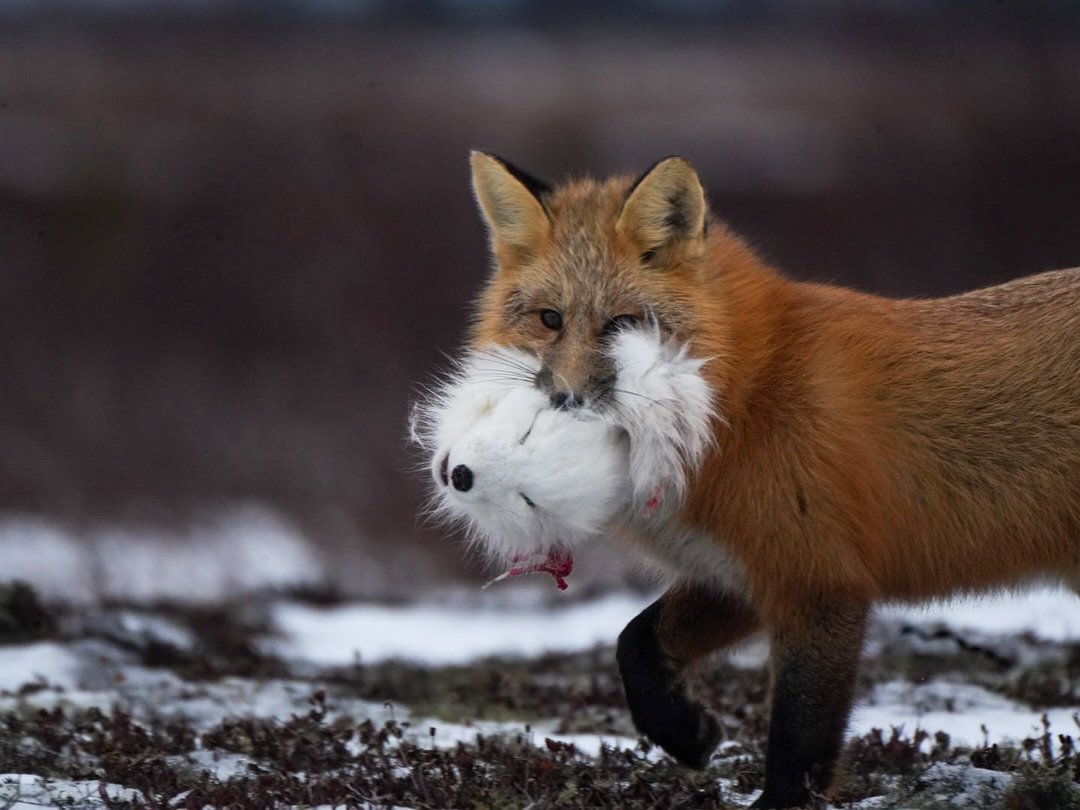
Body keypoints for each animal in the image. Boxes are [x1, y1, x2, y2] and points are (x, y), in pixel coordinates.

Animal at [461, 150, 1080, 808]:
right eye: (549, 320)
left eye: (623, 325)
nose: (567, 399)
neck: (746, 394)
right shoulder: (734, 573)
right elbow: (635, 644)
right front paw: (688, 734)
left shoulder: (819, 582)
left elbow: (798, 738)